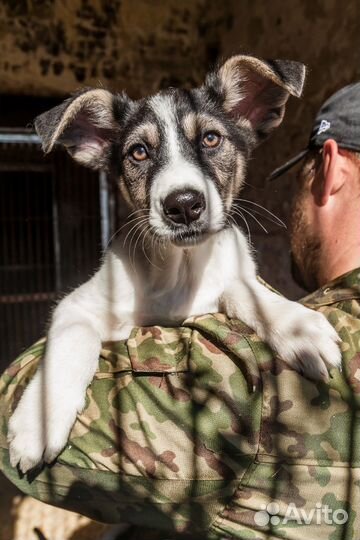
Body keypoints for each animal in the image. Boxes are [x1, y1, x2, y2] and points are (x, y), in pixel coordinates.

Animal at [7, 54, 340, 472]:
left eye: (211, 139)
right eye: (138, 152)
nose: (183, 205)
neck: (178, 271)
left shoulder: (229, 274)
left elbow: (243, 288)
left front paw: (296, 326)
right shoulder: (77, 305)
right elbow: (73, 339)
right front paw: (38, 421)